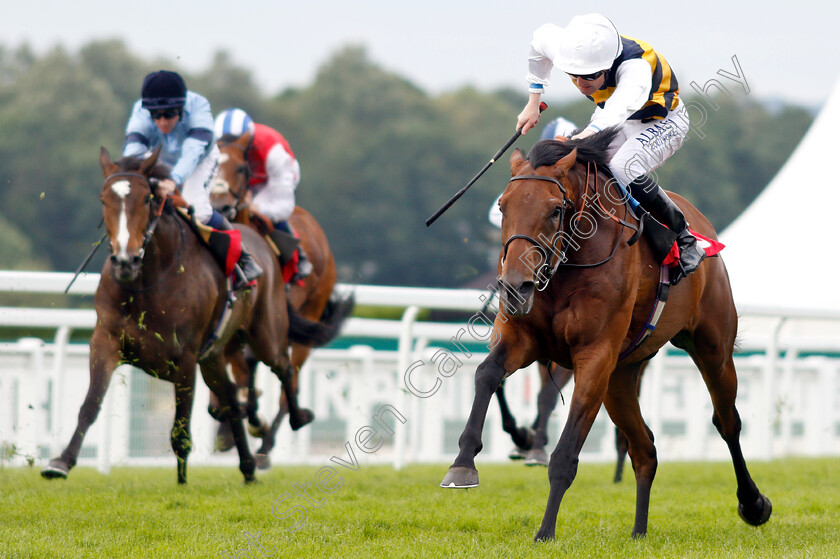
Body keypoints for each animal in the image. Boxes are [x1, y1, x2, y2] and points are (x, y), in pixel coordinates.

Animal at [41, 149, 338, 486]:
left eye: (147, 199)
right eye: (104, 199)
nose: (125, 261)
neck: (148, 282)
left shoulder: (184, 358)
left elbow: (181, 427)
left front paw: (182, 481)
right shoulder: (106, 341)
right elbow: (90, 405)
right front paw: (61, 462)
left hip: (266, 332)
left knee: (284, 369)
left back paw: (294, 422)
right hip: (213, 356)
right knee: (232, 400)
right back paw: (248, 465)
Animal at [212, 130, 356, 468]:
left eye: (241, 168)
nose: (220, 206)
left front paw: (249, 420)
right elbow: (236, 373)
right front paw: (227, 423)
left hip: (307, 313)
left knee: (289, 380)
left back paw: (267, 444)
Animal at [442, 131, 772, 544]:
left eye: (555, 210)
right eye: (503, 207)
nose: (515, 287)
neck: (568, 265)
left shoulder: (594, 357)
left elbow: (565, 454)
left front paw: (545, 533)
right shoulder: (523, 338)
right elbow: (486, 374)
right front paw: (462, 464)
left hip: (712, 348)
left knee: (727, 422)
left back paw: (753, 503)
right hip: (622, 377)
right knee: (645, 449)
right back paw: (639, 533)